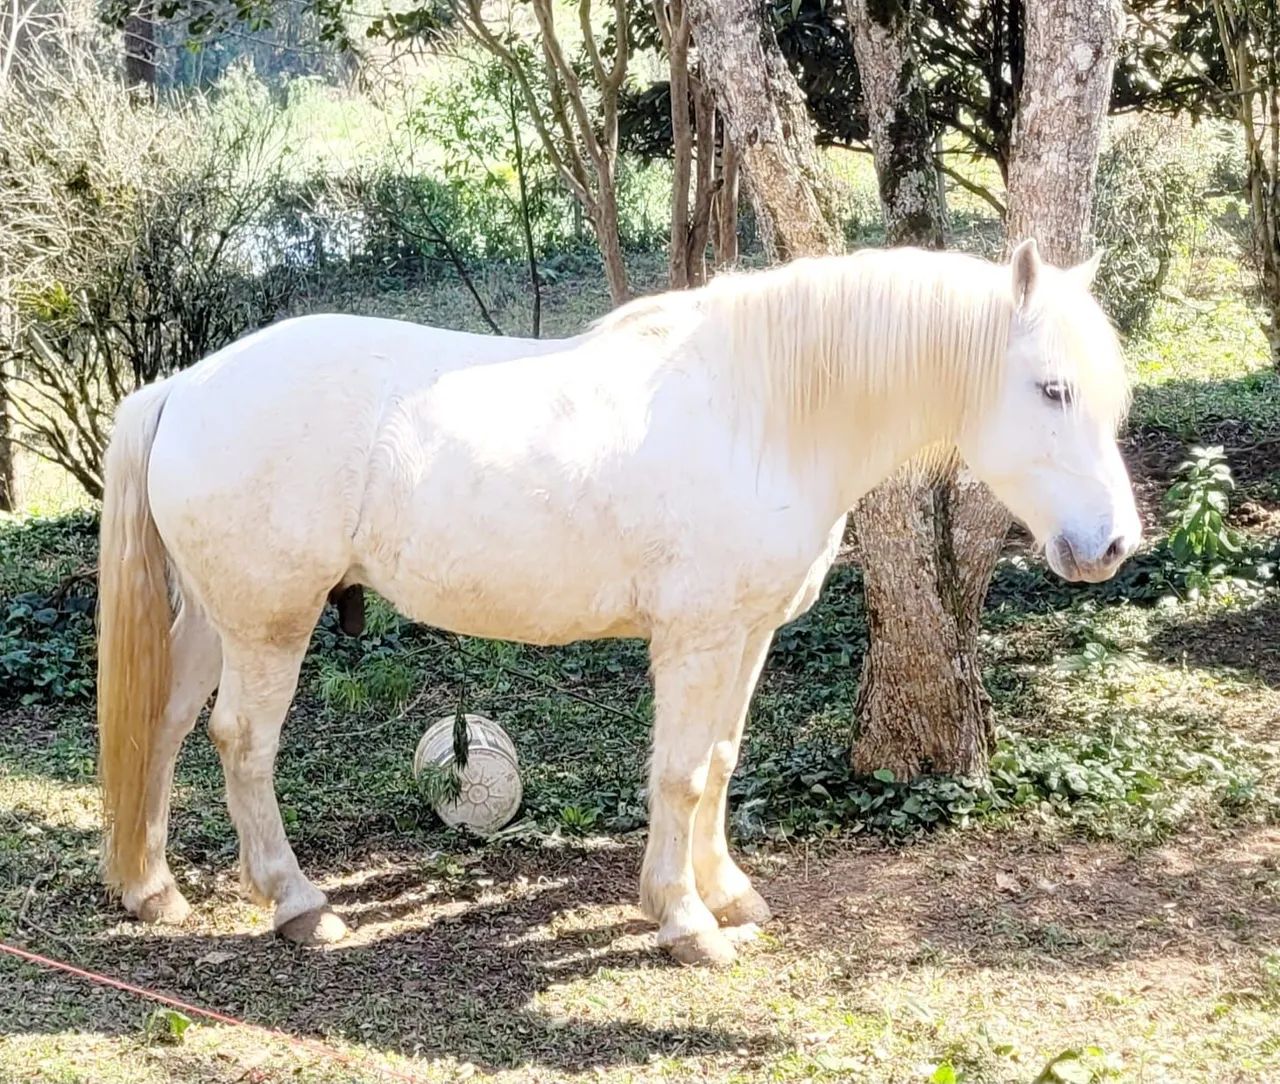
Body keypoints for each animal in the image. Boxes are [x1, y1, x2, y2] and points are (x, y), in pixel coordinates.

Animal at [96, 239, 1140, 967]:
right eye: (1052, 389)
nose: (1112, 546)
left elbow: (718, 762)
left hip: (217, 620)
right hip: (271, 624)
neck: (763, 413)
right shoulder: (696, 641)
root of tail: (187, 384)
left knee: (168, 722)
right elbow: (679, 776)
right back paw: (299, 905)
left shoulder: (745, 637)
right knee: (242, 743)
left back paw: (153, 890)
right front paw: (684, 922)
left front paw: (728, 895)